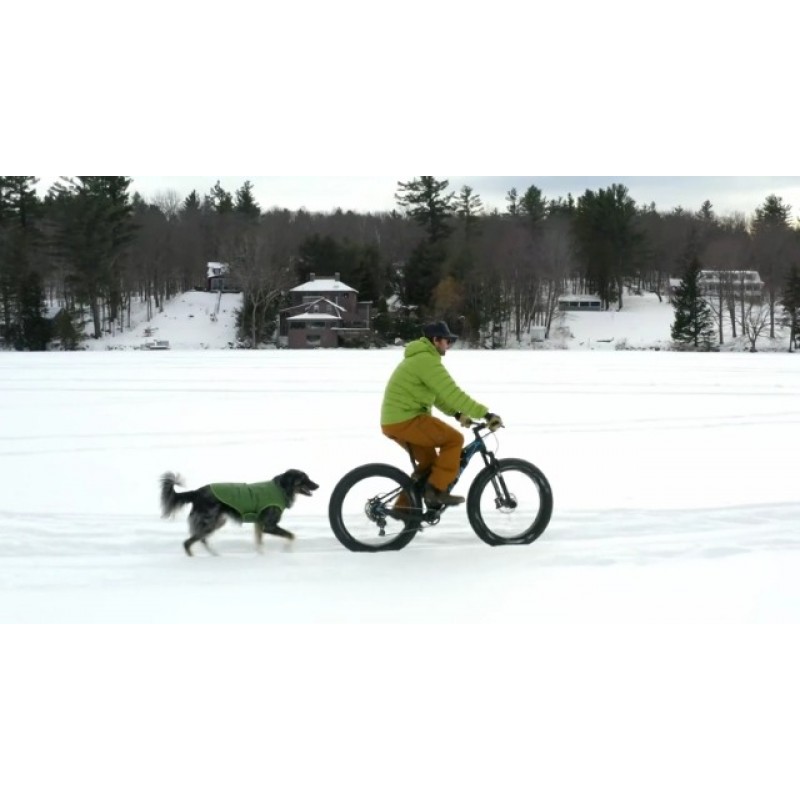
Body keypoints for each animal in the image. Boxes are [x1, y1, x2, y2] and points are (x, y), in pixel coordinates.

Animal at [159, 468, 318, 556]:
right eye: (304, 478)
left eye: (308, 477)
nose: (318, 485)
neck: (281, 488)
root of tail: (196, 492)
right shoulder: (269, 526)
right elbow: (291, 536)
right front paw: (287, 550)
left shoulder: (259, 524)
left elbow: (259, 542)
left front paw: (262, 555)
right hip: (209, 521)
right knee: (188, 542)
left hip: (217, 521)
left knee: (200, 540)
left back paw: (215, 555)